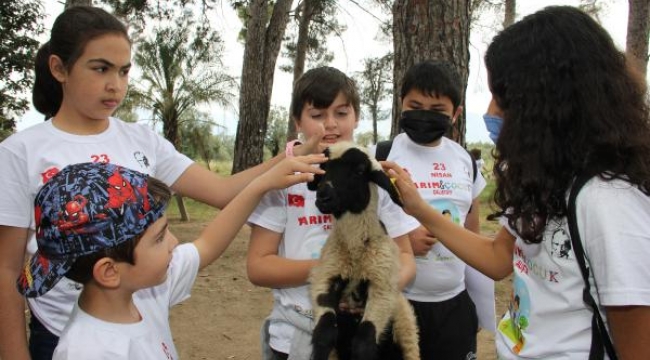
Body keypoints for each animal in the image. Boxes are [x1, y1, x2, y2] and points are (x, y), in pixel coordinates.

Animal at [306, 141, 418, 360]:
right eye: (323, 168)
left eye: (359, 170)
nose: (323, 196)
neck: (355, 251)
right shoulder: (326, 276)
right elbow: (324, 334)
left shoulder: (382, 286)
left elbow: (364, 342)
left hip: (405, 328)